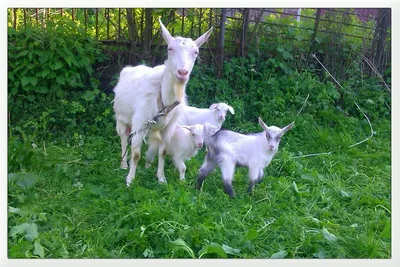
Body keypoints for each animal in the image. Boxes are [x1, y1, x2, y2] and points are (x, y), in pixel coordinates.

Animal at [112, 19, 212, 186]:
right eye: (170, 48)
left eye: (196, 52)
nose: (182, 72)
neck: (163, 98)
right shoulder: (140, 121)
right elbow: (136, 153)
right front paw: (130, 180)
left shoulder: (168, 127)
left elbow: (162, 152)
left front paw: (161, 178)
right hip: (121, 117)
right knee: (124, 138)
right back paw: (124, 164)